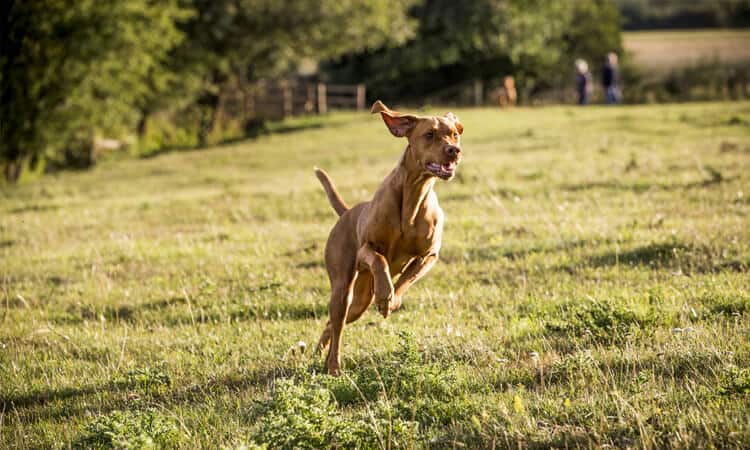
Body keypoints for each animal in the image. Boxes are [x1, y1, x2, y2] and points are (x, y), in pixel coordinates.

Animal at [312, 100, 464, 374]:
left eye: (454, 134)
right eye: (429, 134)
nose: (454, 150)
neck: (414, 195)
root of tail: (347, 211)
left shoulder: (429, 256)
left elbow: (406, 279)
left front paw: (392, 301)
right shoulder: (366, 249)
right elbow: (380, 260)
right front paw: (385, 296)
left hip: (360, 301)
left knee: (332, 324)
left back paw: (319, 355)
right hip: (342, 290)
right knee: (337, 324)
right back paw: (332, 366)